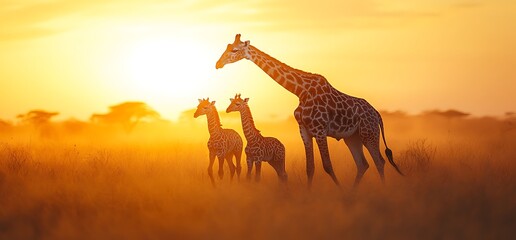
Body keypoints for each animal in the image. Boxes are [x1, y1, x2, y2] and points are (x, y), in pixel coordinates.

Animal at [214, 34, 404, 188]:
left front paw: (340, 193)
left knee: (379, 161)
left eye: (235, 49)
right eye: (226, 47)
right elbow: (310, 167)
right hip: (352, 137)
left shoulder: (319, 130)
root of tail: (377, 114)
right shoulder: (304, 130)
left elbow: (327, 165)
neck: (300, 90)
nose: (217, 64)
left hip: (368, 133)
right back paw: (353, 194)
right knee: (363, 164)